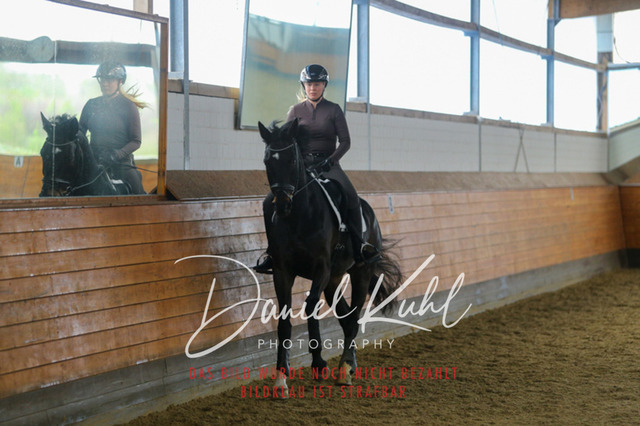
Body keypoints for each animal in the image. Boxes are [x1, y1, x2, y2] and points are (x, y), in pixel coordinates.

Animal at [258, 118, 403, 397]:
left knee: (354, 318)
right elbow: (284, 321)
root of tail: (370, 213)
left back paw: (345, 369)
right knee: (346, 320)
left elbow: (310, 307)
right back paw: (350, 364)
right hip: (334, 280)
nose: (281, 205)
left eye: (292, 160)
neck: (299, 215)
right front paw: (281, 379)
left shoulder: (320, 268)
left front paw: (318, 363)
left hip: (360, 272)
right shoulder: (283, 271)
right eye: (267, 161)